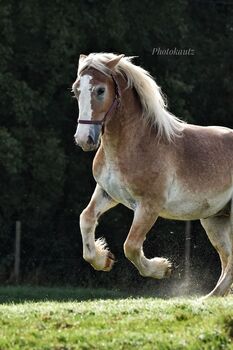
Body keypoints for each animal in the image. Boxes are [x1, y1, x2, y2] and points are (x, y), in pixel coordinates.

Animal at [73, 52, 233, 298]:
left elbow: (131, 246)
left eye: (100, 90)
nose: (84, 139)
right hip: (215, 220)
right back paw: (210, 297)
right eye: (76, 90)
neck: (136, 143)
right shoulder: (108, 193)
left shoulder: (149, 206)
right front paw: (103, 259)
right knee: (227, 259)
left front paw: (163, 268)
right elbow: (87, 218)